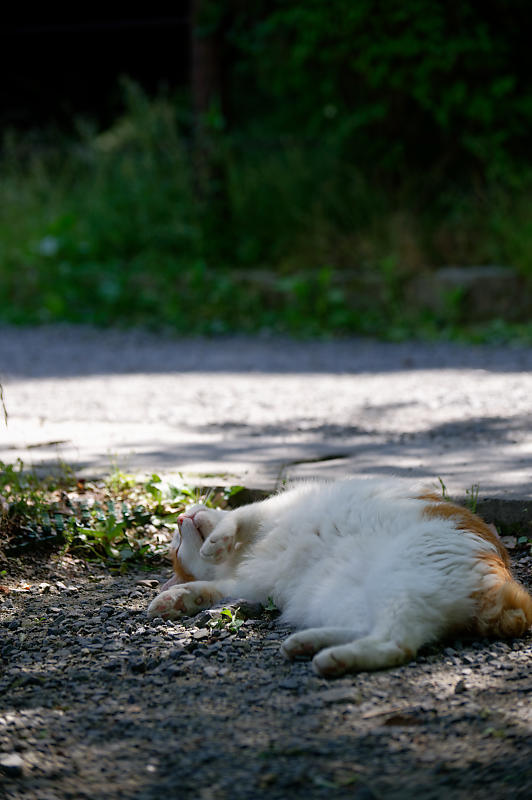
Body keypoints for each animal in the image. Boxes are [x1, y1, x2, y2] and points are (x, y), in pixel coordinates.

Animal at [147, 478, 532, 680]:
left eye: (176, 541)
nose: (180, 518)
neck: (241, 557)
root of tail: (504, 592)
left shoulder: (266, 512)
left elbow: (236, 518)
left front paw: (215, 543)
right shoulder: (248, 586)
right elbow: (209, 589)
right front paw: (175, 600)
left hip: (400, 577)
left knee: (397, 643)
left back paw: (328, 657)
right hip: (357, 596)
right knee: (383, 635)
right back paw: (312, 646)